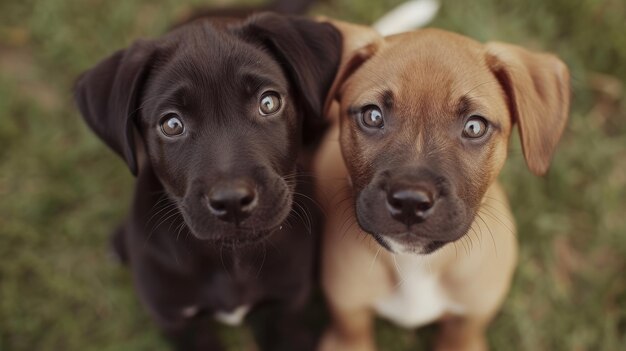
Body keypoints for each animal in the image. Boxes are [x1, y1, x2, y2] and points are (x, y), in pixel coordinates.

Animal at [74, 12, 342, 350]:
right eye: (172, 124)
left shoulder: (287, 301)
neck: (233, 262)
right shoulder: (176, 320)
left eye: (268, 103)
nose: (232, 202)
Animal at [314, 22, 568, 351]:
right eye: (372, 115)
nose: (410, 202)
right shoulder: (347, 333)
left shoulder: (465, 332)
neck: (415, 265)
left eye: (474, 126)